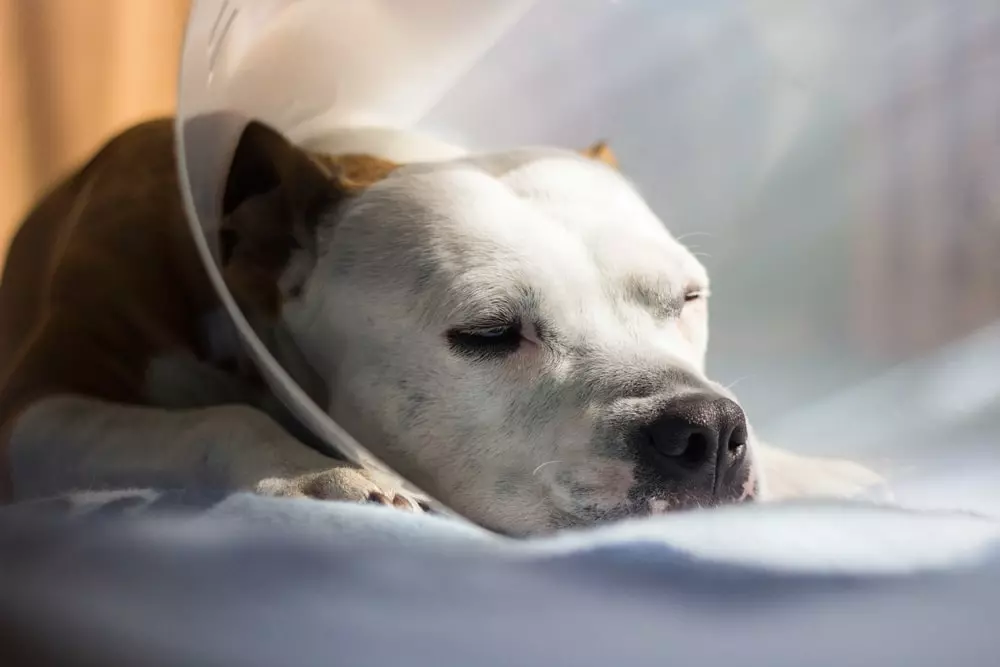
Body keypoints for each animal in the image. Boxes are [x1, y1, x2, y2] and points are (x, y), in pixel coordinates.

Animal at [0, 118, 880, 536]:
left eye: (687, 299)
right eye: (488, 333)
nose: (707, 429)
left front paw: (805, 465)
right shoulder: (33, 407)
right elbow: (216, 418)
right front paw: (316, 471)